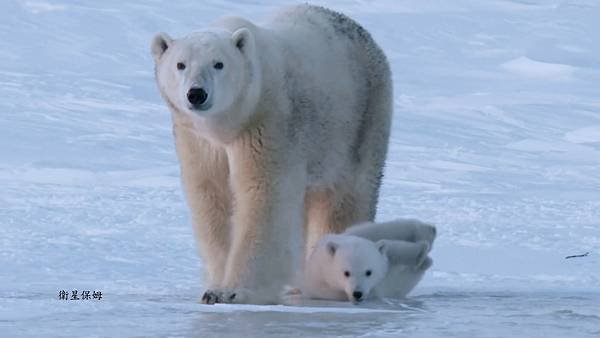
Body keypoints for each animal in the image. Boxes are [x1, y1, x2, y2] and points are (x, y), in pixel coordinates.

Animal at [152, 3, 392, 304]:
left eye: (219, 64)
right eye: (180, 64)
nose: (196, 94)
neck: (231, 122)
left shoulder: (268, 121)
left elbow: (263, 196)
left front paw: (234, 291)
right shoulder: (198, 139)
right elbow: (212, 196)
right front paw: (214, 287)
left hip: (360, 121)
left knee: (345, 197)